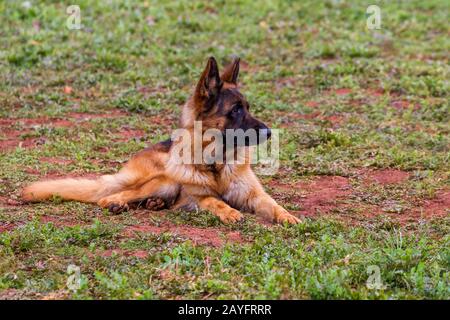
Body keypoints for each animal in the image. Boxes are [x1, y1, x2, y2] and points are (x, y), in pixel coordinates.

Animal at [22, 57, 300, 225]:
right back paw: (117, 203)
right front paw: (230, 211)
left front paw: (289, 217)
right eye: (235, 110)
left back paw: (153, 204)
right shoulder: (198, 197)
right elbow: (214, 200)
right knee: (113, 195)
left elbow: (274, 205)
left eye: (248, 108)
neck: (216, 164)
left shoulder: (255, 195)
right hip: (164, 180)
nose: (270, 133)